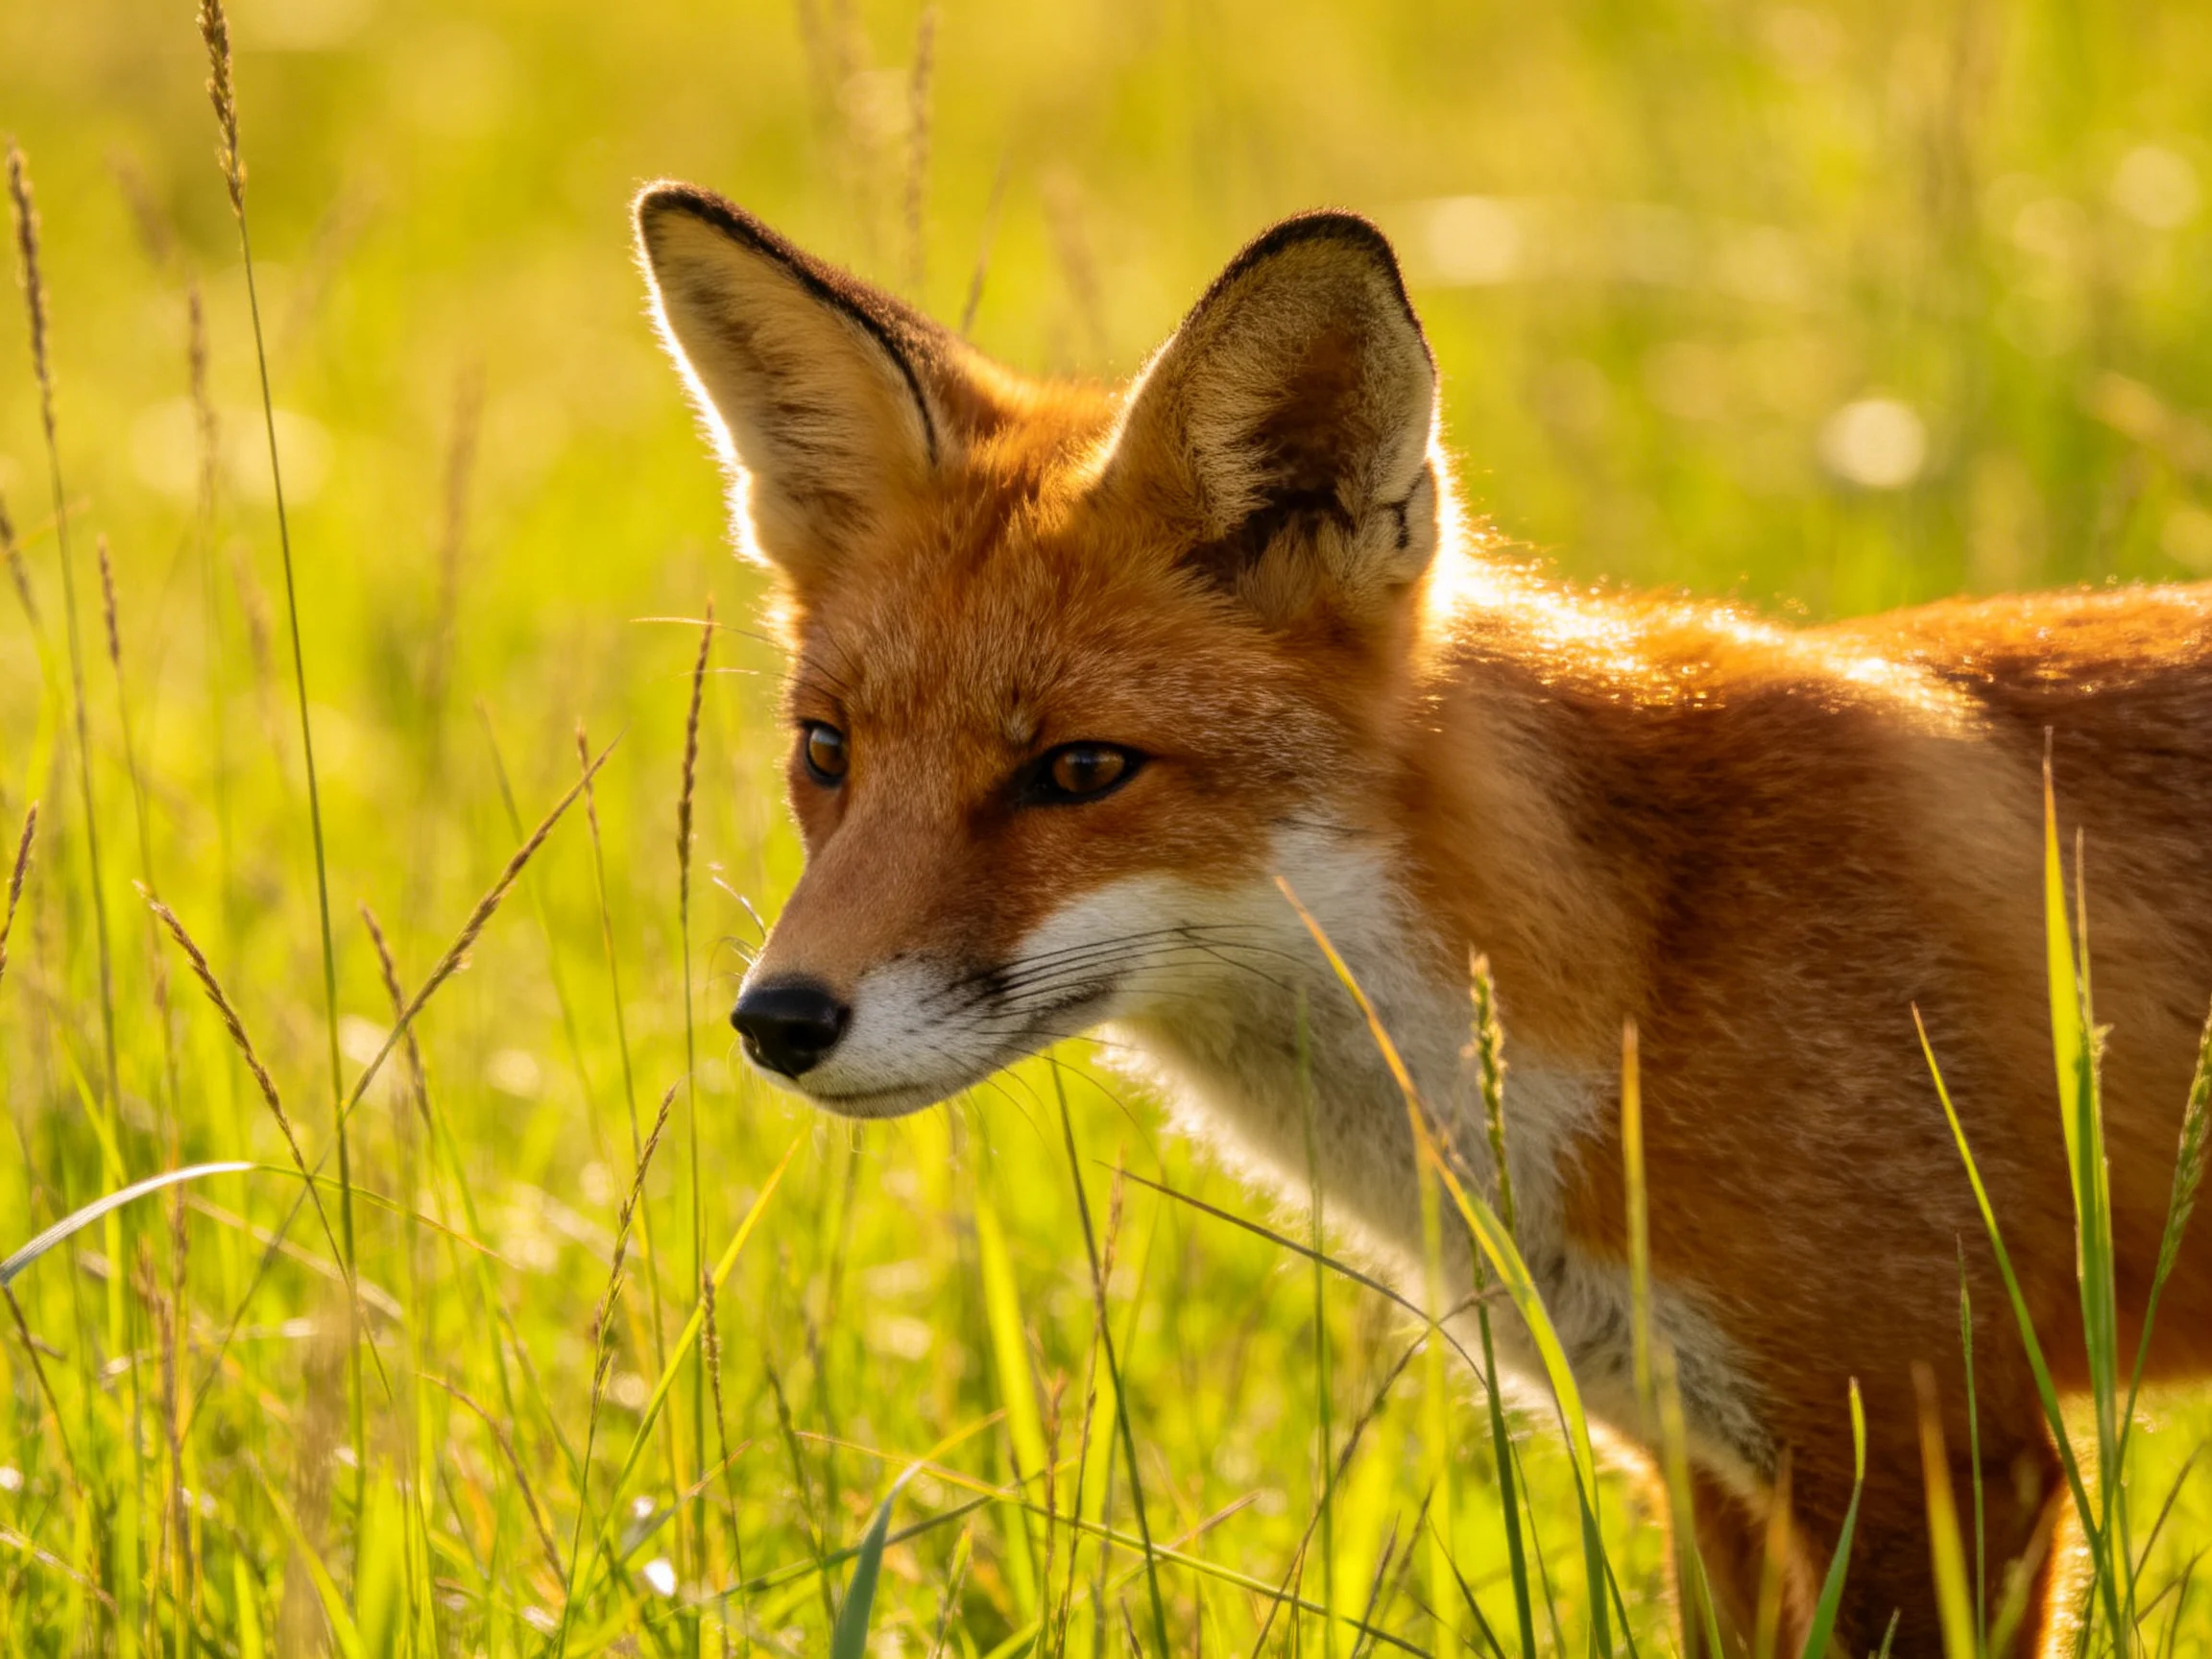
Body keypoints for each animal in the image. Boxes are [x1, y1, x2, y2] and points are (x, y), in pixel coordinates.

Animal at [633, 180, 2212, 1655]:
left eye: (1079, 770)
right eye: (827, 751)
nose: (778, 1021)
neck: (1646, 961)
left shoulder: (1929, 1449)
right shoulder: (1713, 1465)